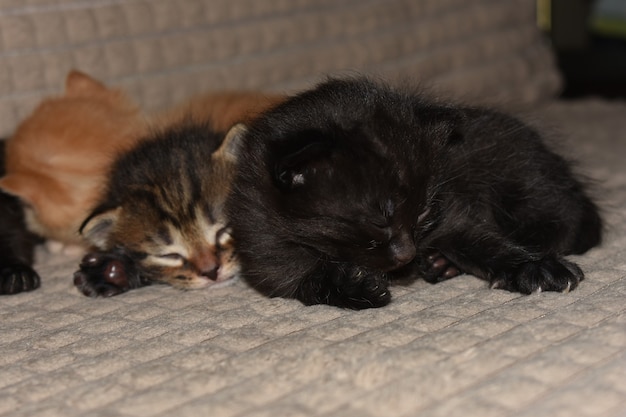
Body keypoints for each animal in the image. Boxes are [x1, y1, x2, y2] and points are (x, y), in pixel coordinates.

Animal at [224, 77, 600, 308]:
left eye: (423, 211)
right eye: (379, 222)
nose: (407, 254)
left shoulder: (455, 211)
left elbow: (485, 242)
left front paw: (534, 268)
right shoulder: (264, 248)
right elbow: (301, 278)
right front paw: (356, 287)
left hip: (524, 180)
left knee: (562, 221)